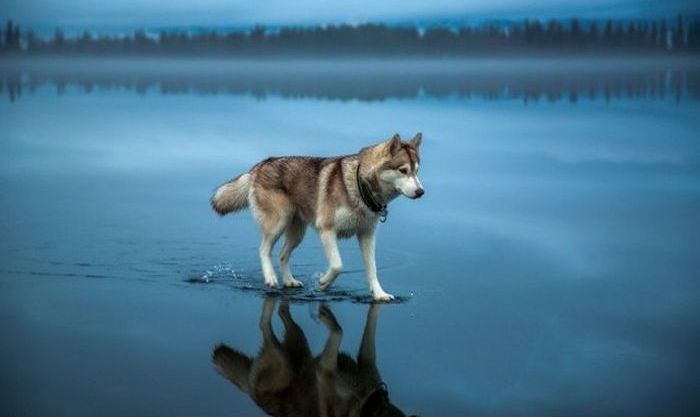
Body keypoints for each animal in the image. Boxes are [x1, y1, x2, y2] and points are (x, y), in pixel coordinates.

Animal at [211, 133, 424, 300]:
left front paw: (380, 294)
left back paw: (289, 281)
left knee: (282, 255)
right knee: (264, 249)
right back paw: (270, 278)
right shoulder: (327, 230)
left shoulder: (367, 236)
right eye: (403, 170)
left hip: (298, 233)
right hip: (278, 223)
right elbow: (338, 265)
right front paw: (323, 283)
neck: (360, 186)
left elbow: (372, 269)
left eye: (417, 171)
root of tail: (261, 164)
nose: (421, 191)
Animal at [213, 296, 410, 416]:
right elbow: (339, 331)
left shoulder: (367, 361)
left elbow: (371, 324)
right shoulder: (324, 370)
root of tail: (251, 393)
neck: (367, 402)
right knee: (264, 324)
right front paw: (326, 316)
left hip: (299, 345)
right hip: (284, 363)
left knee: (282, 313)